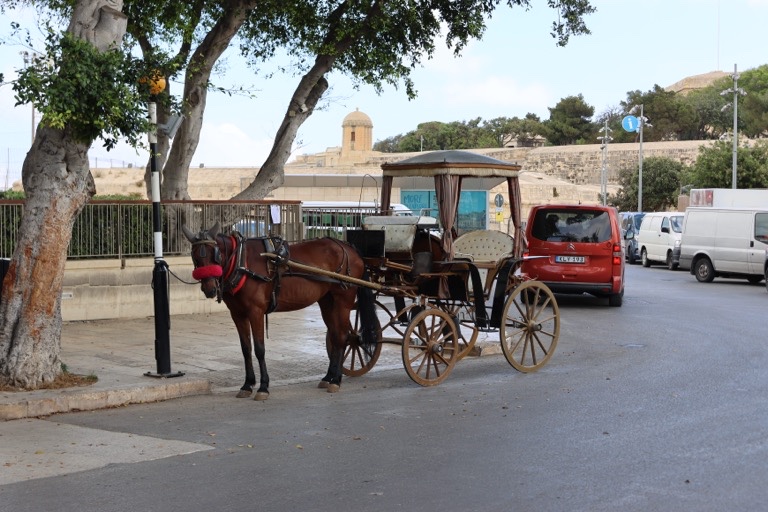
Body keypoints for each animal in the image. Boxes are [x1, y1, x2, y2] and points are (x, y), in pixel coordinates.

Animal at [184, 224, 380, 400]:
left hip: (343, 300)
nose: (209, 289)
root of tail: (349, 248)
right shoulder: (238, 314)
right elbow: (246, 349)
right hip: (327, 301)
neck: (240, 260)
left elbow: (259, 349)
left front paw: (263, 387)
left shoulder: (255, 312)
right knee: (334, 335)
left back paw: (336, 380)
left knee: (341, 336)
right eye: (195, 256)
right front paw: (247, 384)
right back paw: (328, 377)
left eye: (215, 254)